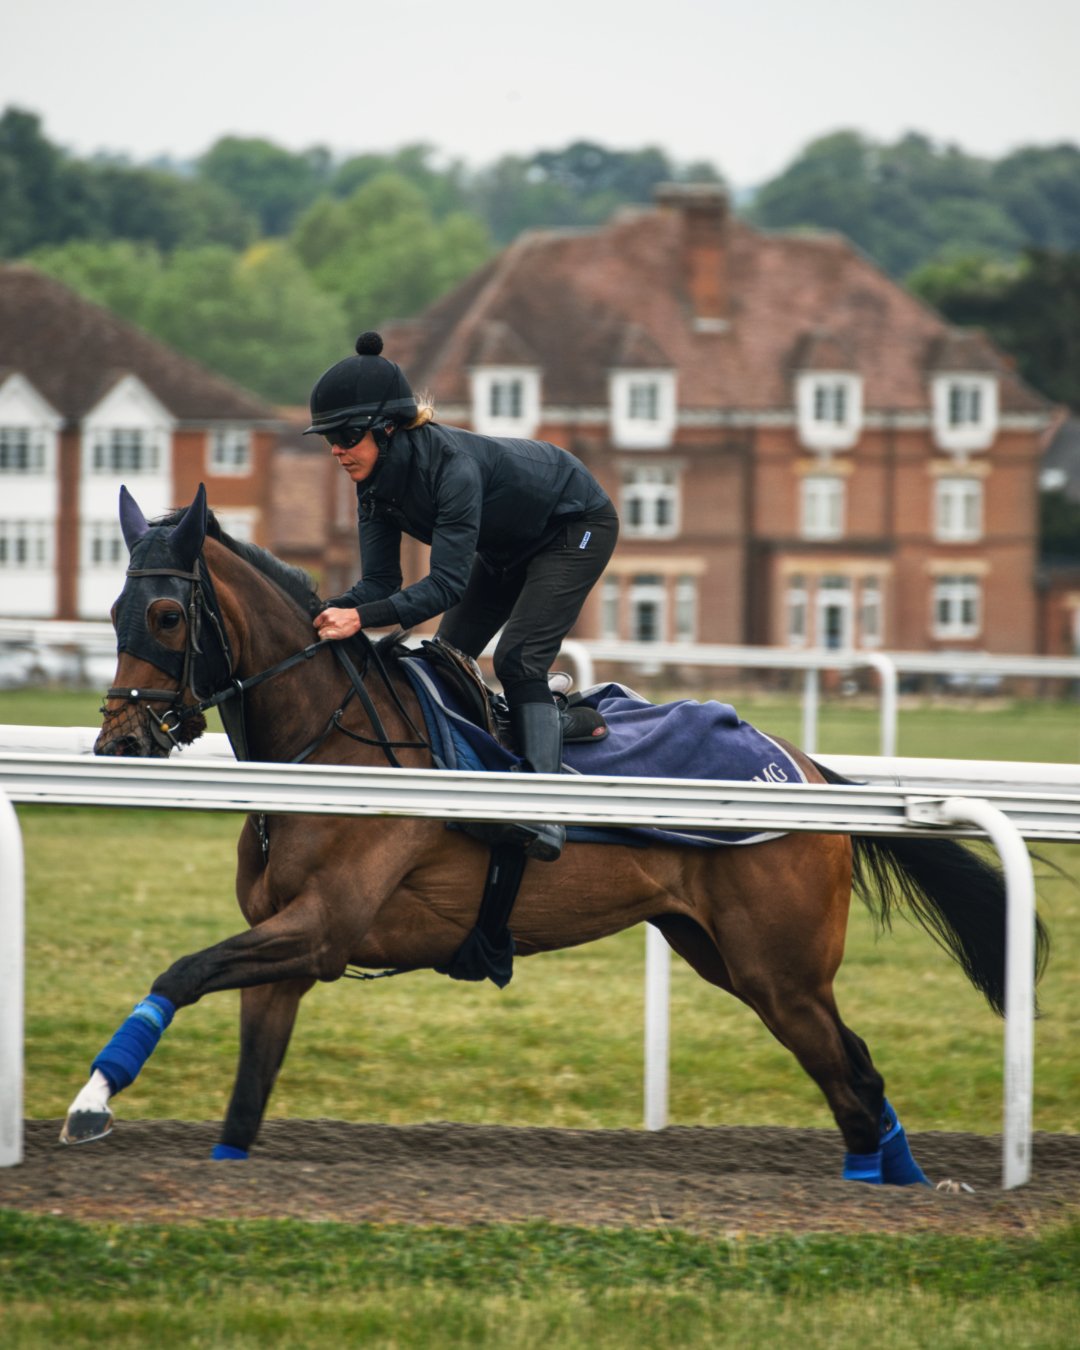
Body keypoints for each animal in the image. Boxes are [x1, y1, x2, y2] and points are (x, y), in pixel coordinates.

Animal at [61, 484, 1049, 1183]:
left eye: (167, 615)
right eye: (112, 613)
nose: (118, 741)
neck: (334, 747)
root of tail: (803, 769)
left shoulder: (324, 926)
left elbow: (180, 971)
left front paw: (91, 1099)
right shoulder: (289, 954)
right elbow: (244, 1098)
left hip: (782, 969)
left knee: (855, 1077)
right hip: (726, 956)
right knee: (853, 1079)